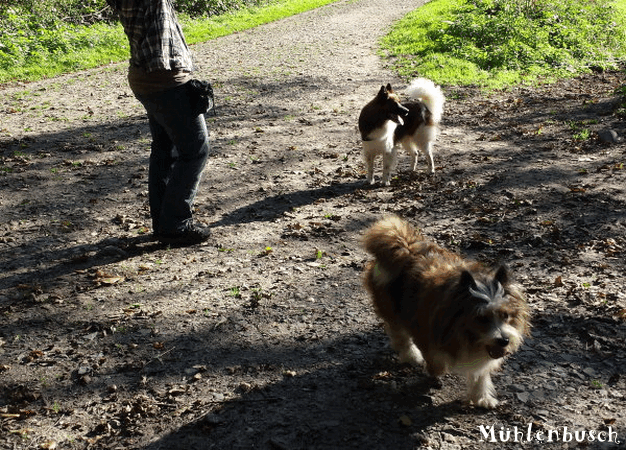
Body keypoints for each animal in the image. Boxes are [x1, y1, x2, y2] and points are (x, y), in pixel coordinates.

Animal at [360, 216, 528, 410]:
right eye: (482, 318)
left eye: (505, 315)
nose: (504, 341)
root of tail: (406, 246)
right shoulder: (426, 333)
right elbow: (437, 362)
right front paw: (434, 370)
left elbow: (480, 374)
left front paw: (481, 397)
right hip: (393, 309)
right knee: (399, 335)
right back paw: (411, 355)